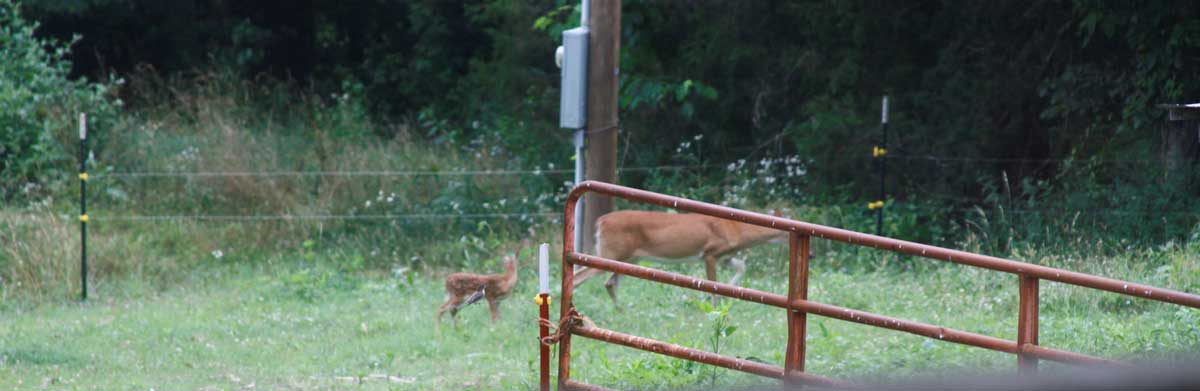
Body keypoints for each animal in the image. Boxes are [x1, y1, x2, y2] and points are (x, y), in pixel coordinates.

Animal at [578, 208, 792, 307]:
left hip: (628, 259)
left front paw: (731, 291)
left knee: (609, 283)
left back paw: (621, 310)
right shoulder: (710, 253)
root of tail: (600, 221)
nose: (813, 252)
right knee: (582, 275)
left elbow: (742, 267)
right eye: (789, 230)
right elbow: (712, 284)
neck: (736, 229)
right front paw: (714, 308)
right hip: (612, 253)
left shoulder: (725, 256)